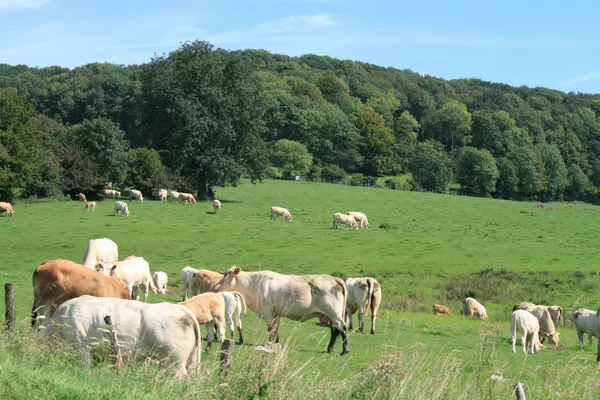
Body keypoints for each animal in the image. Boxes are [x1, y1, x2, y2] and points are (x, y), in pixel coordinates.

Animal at [213, 266, 350, 354]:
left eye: (226, 275)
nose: (215, 287)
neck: (254, 283)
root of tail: (335, 278)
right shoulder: (276, 313)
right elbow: (276, 328)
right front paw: (276, 343)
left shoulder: (268, 310)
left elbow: (270, 328)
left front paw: (270, 343)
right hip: (331, 315)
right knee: (335, 330)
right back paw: (329, 349)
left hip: (334, 314)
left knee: (342, 328)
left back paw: (345, 351)